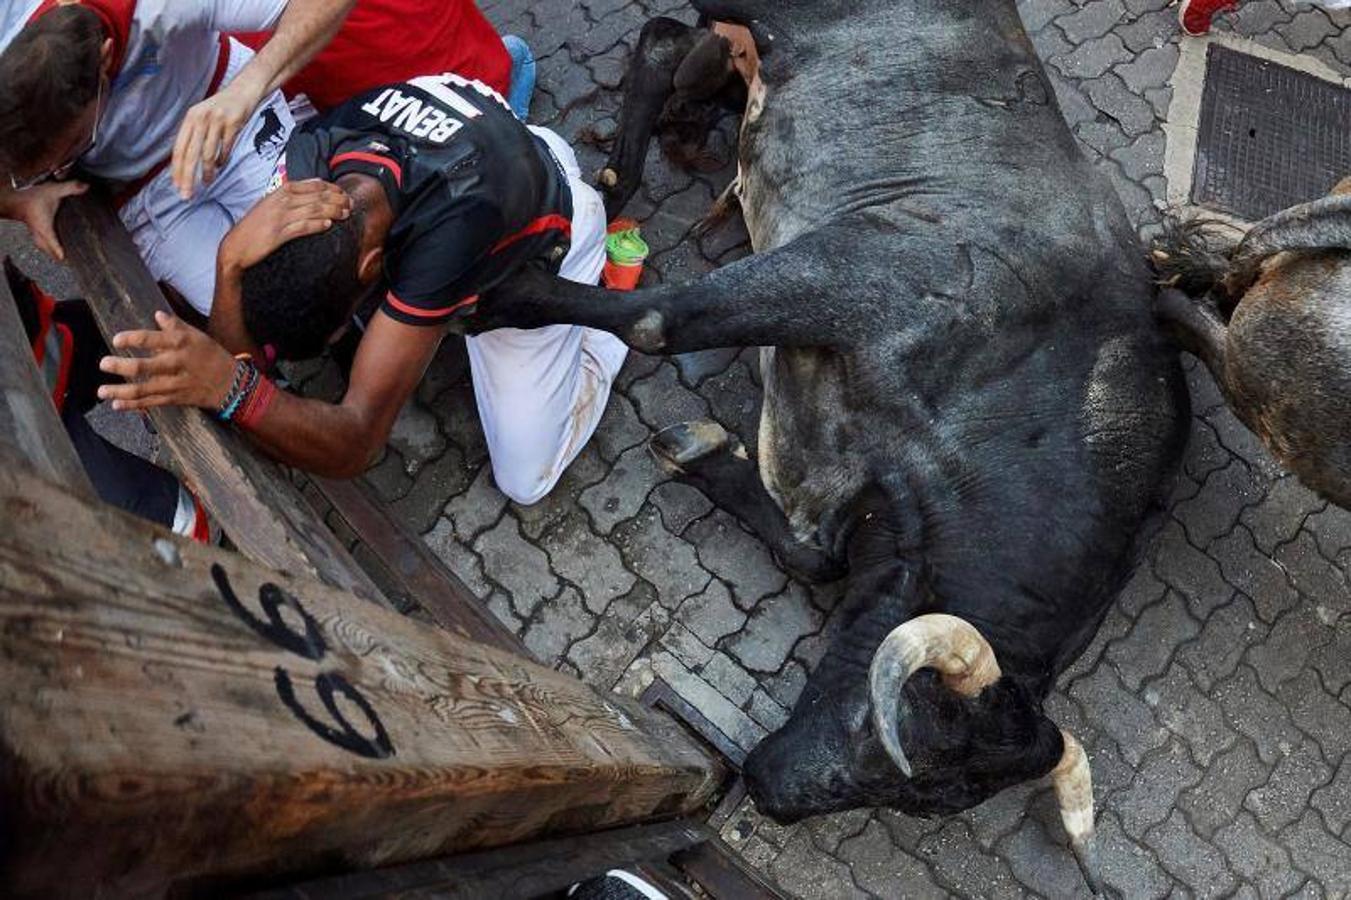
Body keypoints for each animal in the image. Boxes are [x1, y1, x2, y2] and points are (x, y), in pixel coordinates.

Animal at [464, 0, 1194, 881]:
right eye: (892, 731)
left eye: (924, 796)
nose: (768, 790)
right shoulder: (849, 271)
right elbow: (657, 319)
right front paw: (511, 290)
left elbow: (807, 554)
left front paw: (707, 453)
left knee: (668, 39)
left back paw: (623, 168)